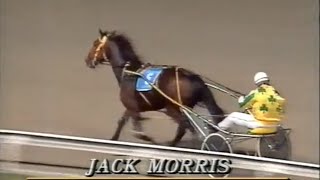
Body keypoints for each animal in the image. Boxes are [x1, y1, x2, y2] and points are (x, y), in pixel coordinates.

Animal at [85, 29, 225, 146]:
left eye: (95, 44)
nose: (87, 60)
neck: (130, 72)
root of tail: (194, 78)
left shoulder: (133, 108)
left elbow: (139, 133)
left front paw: (152, 141)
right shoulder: (130, 107)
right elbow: (121, 122)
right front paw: (113, 139)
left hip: (172, 107)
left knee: (184, 126)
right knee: (186, 127)